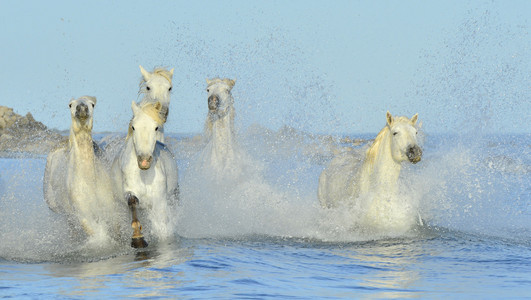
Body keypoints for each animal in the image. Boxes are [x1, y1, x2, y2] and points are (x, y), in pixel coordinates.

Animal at [43, 96, 116, 241]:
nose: (82, 108)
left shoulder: (109, 207)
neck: (89, 180)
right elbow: (96, 233)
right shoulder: (82, 212)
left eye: (92, 104)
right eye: (70, 104)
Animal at [111, 101, 180, 248]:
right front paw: (138, 238)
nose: (143, 161)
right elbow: (132, 202)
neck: (144, 176)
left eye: (156, 127)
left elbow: (161, 223)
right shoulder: (129, 192)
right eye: (133, 127)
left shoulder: (159, 199)